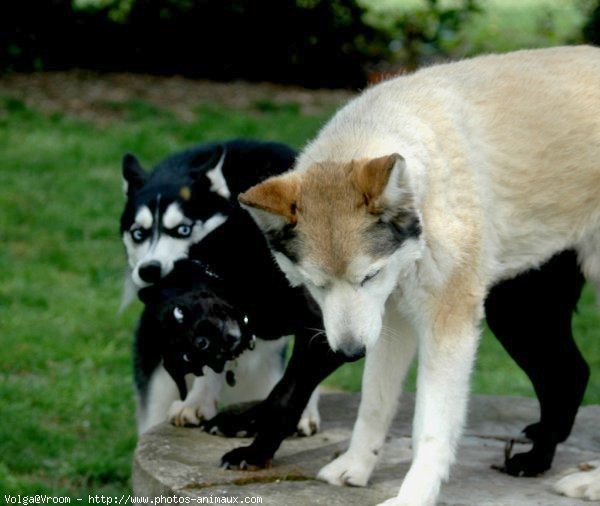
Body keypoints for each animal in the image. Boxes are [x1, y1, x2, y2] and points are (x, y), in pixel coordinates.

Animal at [239, 45, 600, 504]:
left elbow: (429, 430)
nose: (350, 353)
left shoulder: (447, 329)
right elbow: (373, 405)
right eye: (317, 286)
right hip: (521, 315)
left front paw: (415, 495)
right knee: (570, 374)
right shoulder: (389, 323)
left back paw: (584, 479)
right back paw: (538, 460)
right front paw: (355, 467)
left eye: (369, 276)